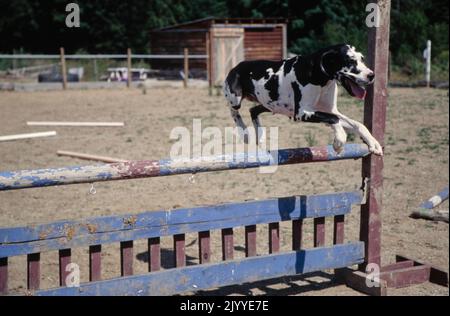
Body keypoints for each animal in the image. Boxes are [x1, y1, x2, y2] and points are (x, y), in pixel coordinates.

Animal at [223, 43, 382, 156]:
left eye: (362, 58)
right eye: (350, 61)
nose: (372, 75)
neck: (317, 73)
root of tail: (237, 66)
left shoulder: (328, 111)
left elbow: (356, 124)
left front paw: (373, 143)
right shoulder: (302, 113)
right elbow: (334, 119)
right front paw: (339, 142)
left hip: (269, 105)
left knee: (253, 110)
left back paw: (260, 136)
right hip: (235, 99)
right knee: (233, 112)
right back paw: (244, 132)